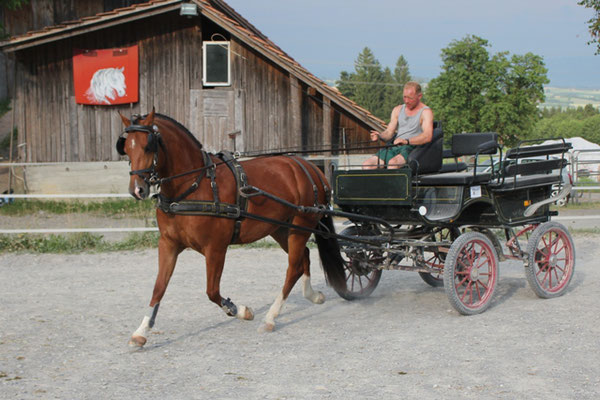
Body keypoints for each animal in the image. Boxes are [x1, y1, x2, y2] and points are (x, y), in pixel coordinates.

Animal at [117, 109, 346, 346]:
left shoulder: (216, 248)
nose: (137, 190)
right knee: (304, 258)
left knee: (293, 268)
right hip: (282, 229)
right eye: (126, 149)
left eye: (148, 146)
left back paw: (270, 317)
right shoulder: (168, 244)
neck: (194, 185)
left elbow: (212, 290)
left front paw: (241, 310)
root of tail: (310, 168)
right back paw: (312, 295)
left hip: (299, 228)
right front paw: (141, 331)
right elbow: (159, 288)